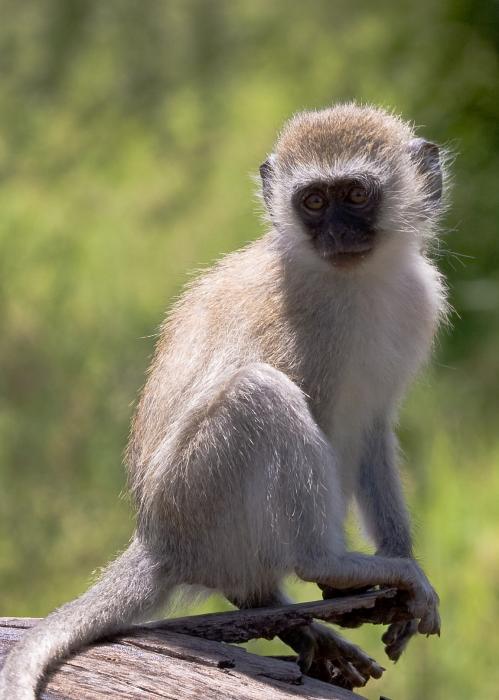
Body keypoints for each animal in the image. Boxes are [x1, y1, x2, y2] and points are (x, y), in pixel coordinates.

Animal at [0, 101, 450, 696]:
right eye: (313, 202)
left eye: (355, 194)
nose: (335, 232)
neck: (359, 280)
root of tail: (159, 539)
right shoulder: (303, 329)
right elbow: (324, 425)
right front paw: (361, 577)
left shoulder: (416, 303)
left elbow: (372, 427)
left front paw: (400, 560)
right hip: (200, 493)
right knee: (261, 393)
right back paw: (327, 565)